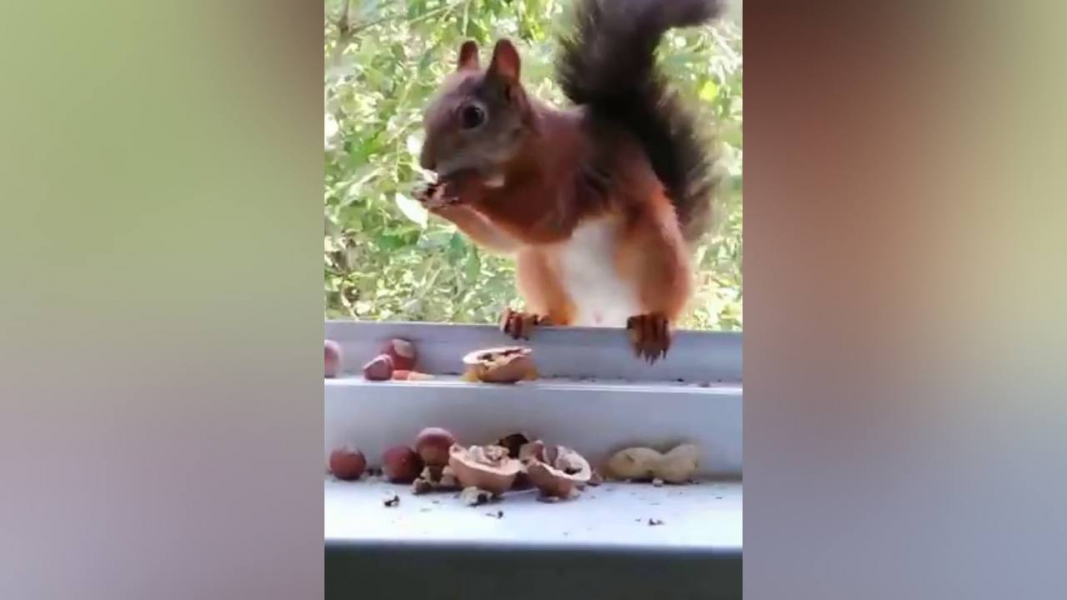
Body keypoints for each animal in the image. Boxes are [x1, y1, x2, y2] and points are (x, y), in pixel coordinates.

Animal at [416, 0, 723, 362]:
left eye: (473, 116)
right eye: (428, 108)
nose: (426, 163)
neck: (515, 157)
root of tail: (605, 315)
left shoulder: (569, 175)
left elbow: (549, 220)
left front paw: (466, 186)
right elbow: (504, 240)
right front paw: (431, 197)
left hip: (656, 244)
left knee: (666, 301)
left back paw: (654, 322)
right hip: (537, 264)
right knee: (561, 312)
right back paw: (530, 317)